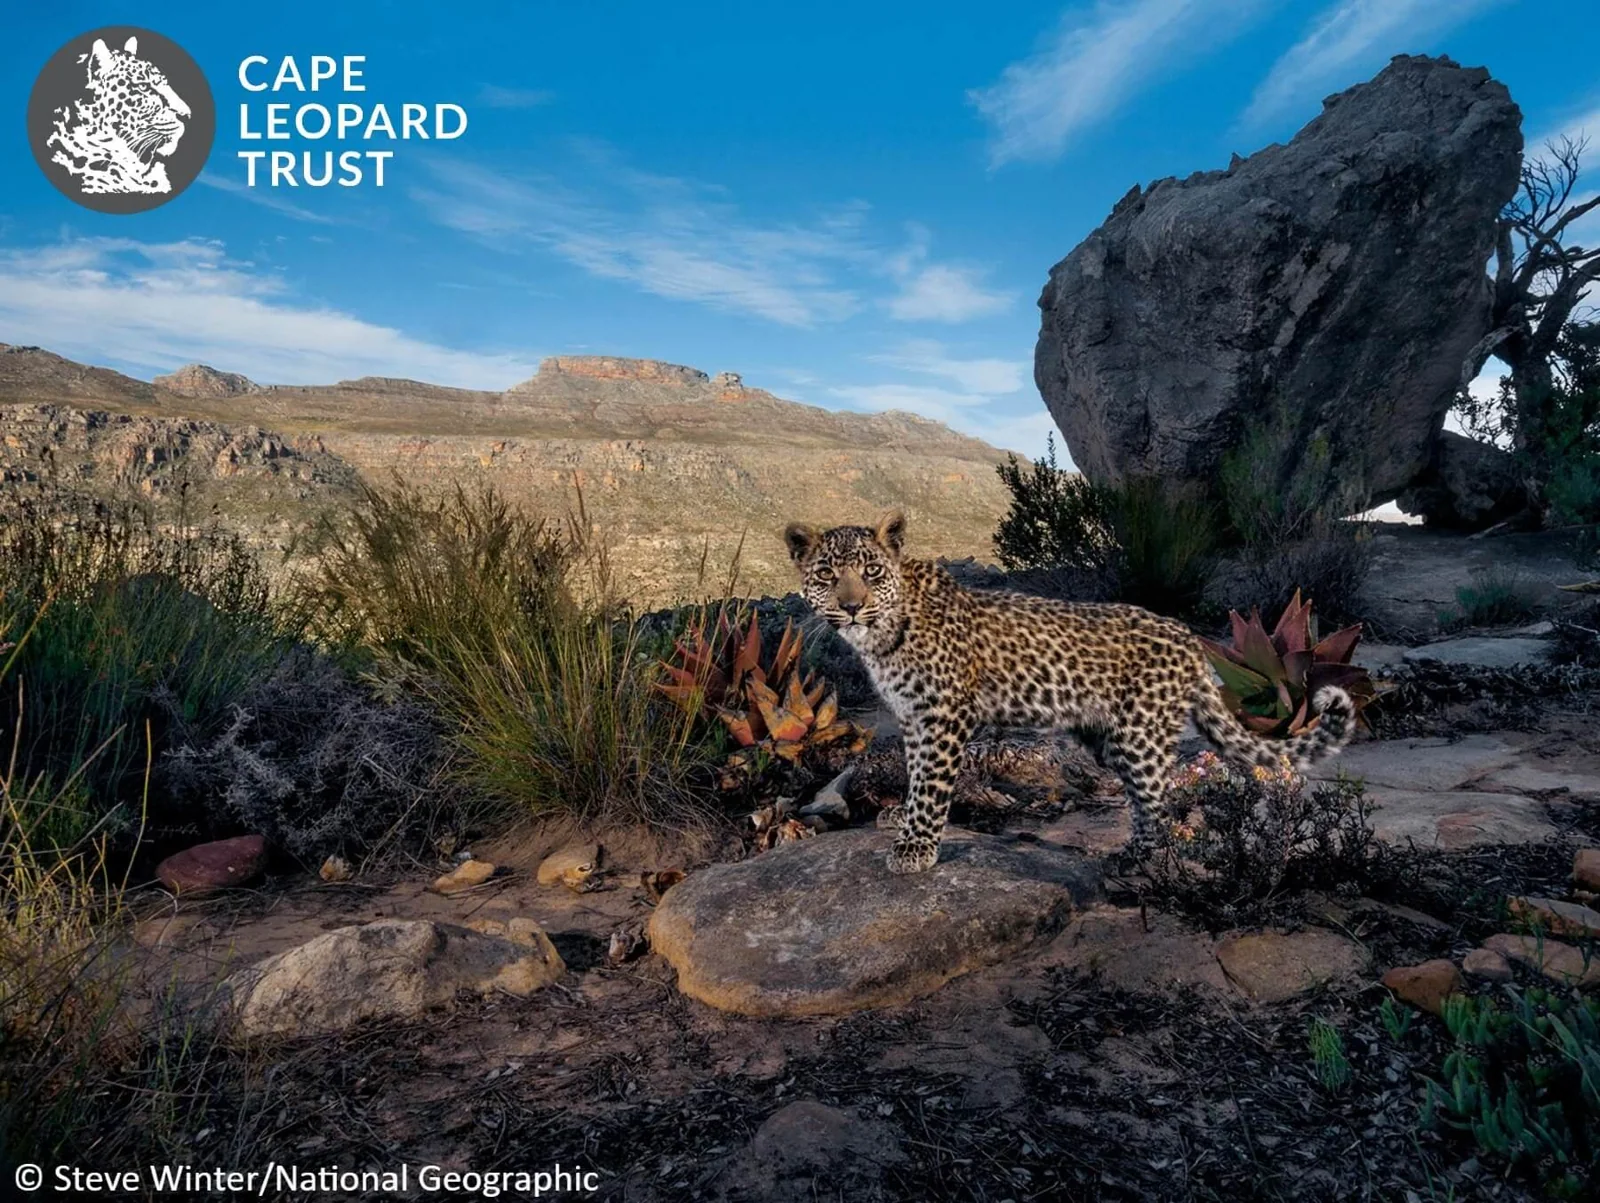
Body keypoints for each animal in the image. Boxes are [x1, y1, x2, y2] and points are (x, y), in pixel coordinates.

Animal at [784, 511, 1355, 875]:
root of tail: (1191, 641)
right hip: (1108, 739)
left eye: (872, 571)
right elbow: (915, 773)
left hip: (1140, 735)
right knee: (1145, 796)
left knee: (1160, 799)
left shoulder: (943, 714)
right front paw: (901, 819)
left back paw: (1138, 859)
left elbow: (932, 783)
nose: (852, 607)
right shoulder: (910, 716)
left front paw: (916, 847)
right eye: (827, 574)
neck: (879, 637)